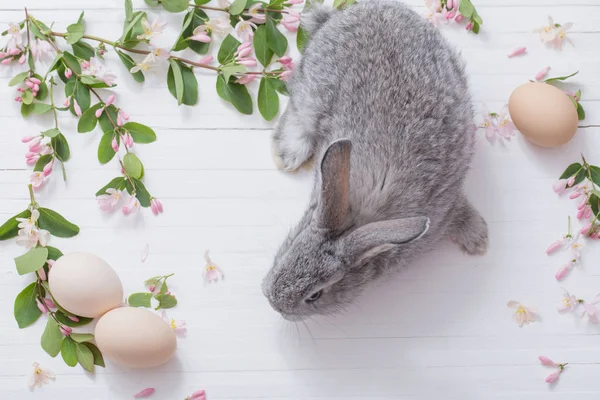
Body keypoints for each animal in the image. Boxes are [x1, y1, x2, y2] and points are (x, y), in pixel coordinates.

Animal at [262, 0, 488, 318]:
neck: (359, 219)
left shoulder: (446, 203)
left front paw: (479, 241)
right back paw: (287, 155)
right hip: (311, 94)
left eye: (315, 295)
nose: (272, 301)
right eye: (291, 246)